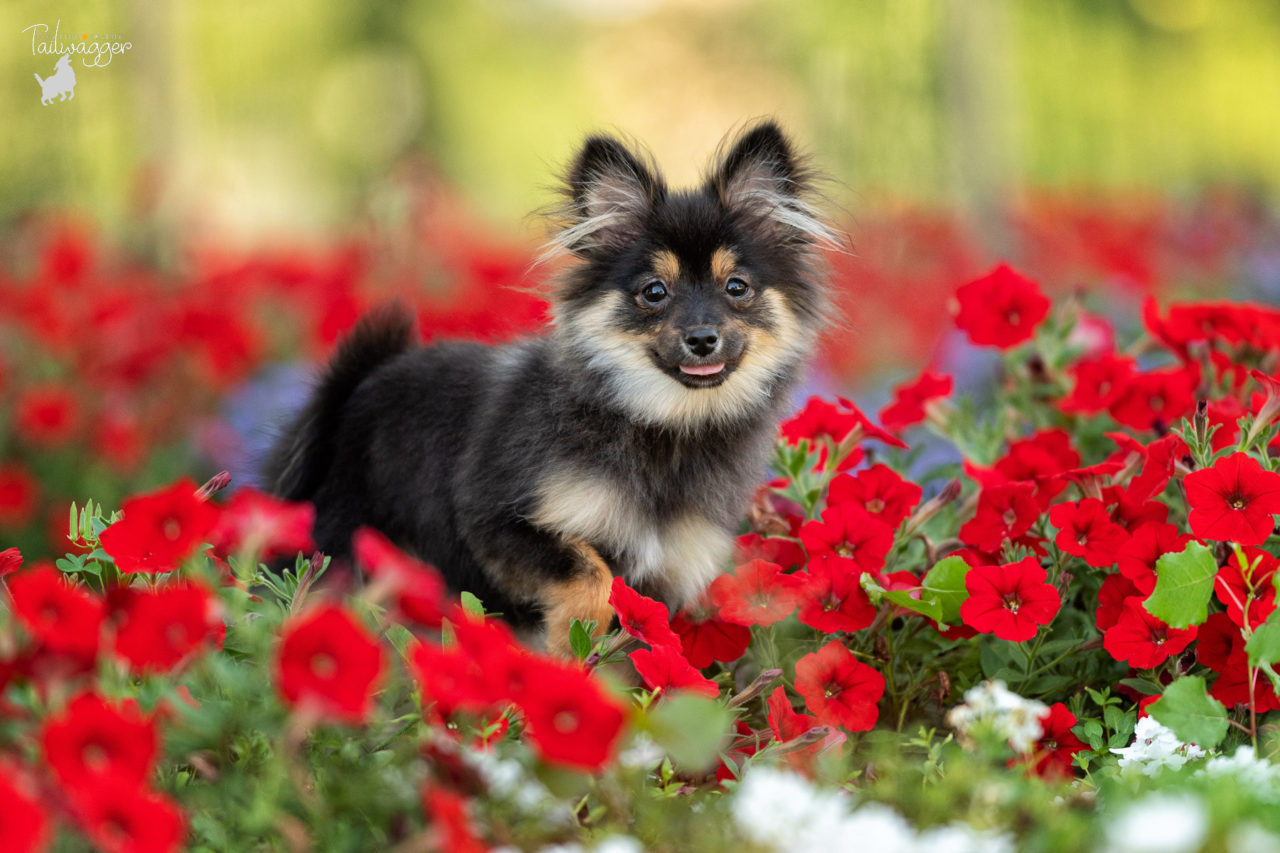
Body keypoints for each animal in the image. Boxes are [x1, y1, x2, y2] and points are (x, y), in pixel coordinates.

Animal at [264, 119, 834, 650]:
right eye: (654, 292)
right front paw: (568, 645)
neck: (661, 422)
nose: (701, 338)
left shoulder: (667, 576)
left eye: (736, 287)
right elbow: (591, 575)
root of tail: (351, 391)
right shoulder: (497, 522)